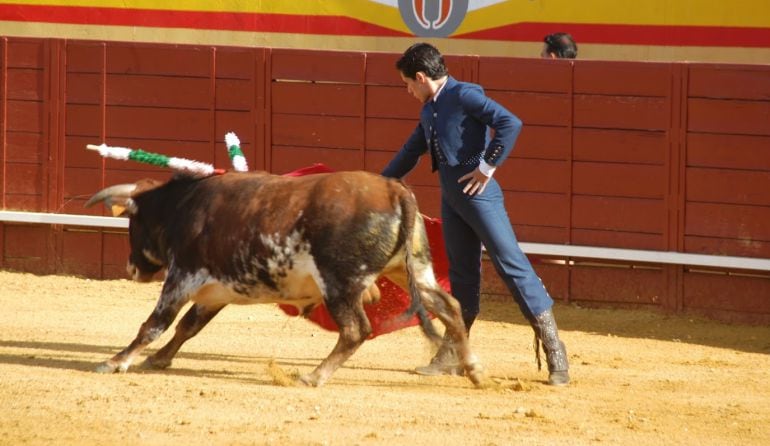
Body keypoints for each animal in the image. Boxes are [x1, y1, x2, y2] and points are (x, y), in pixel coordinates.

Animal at [84, 170, 480, 386]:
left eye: (134, 222)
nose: (132, 268)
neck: (183, 207)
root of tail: (393, 190)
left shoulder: (182, 277)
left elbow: (155, 324)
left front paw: (115, 361)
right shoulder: (215, 291)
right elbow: (188, 327)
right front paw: (159, 359)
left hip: (340, 283)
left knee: (356, 329)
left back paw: (314, 376)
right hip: (412, 269)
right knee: (449, 306)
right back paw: (472, 368)